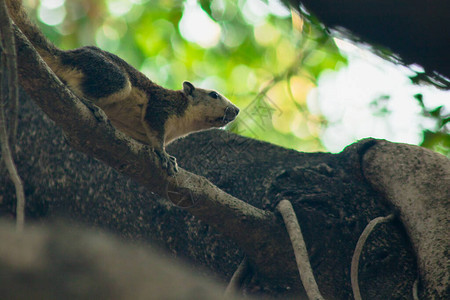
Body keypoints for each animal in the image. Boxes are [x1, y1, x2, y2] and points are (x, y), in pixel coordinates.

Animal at [7, 0, 239, 176]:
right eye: (214, 95)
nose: (236, 110)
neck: (183, 124)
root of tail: (68, 56)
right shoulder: (160, 107)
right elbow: (156, 132)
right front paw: (164, 155)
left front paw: (168, 156)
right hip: (114, 79)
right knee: (75, 89)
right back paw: (91, 106)